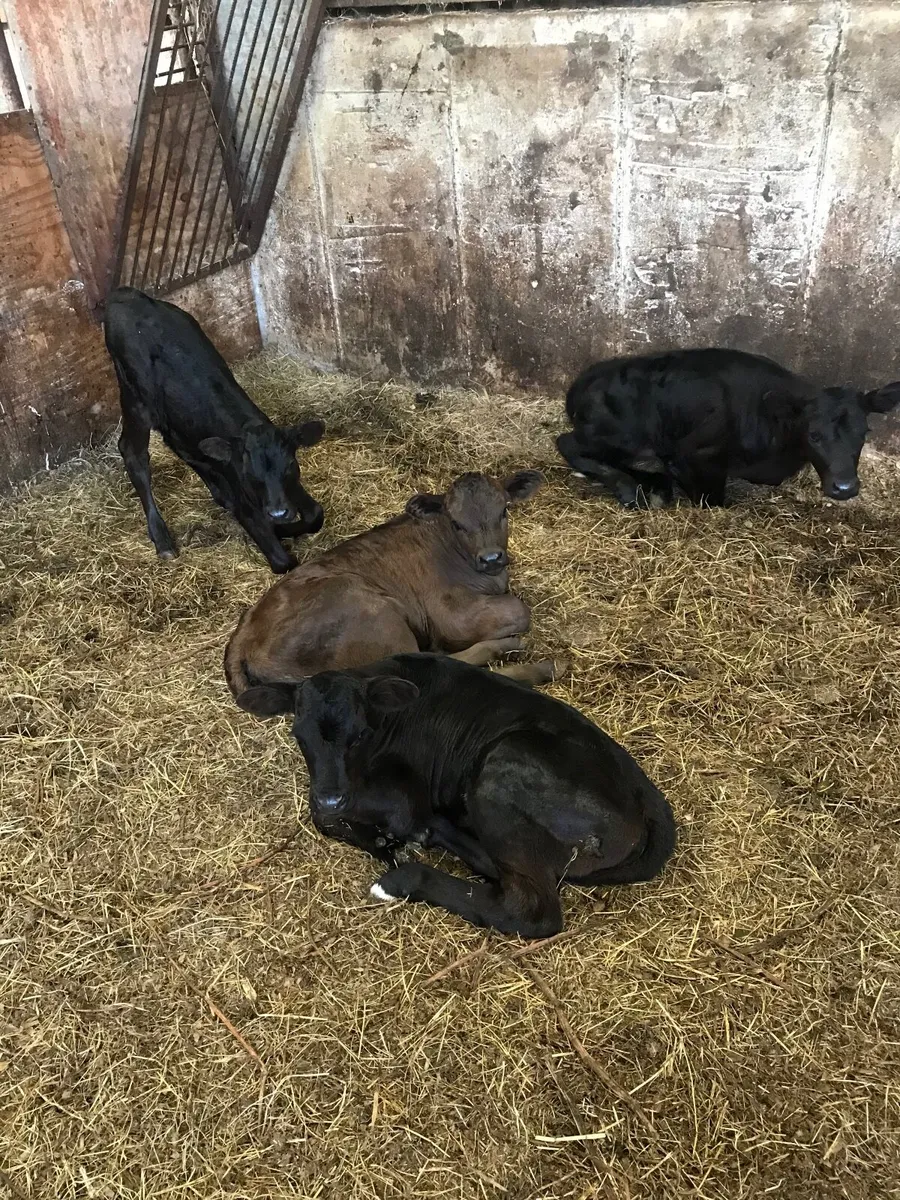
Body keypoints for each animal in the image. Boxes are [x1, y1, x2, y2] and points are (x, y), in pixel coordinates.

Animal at [104, 286, 325, 574]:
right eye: (248, 473)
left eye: (289, 464)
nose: (278, 513)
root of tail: (125, 294)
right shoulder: (246, 505)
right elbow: (283, 562)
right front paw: (276, 531)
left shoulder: (289, 486)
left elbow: (315, 514)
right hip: (135, 399)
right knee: (133, 452)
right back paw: (162, 538)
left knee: (179, 446)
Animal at [225, 470, 545, 700]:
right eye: (456, 522)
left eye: (504, 510)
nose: (491, 558)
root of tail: (244, 634)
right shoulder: (451, 618)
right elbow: (520, 611)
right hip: (376, 615)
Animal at [237, 654, 676, 937]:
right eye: (299, 735)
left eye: (360, 734)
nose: (331, 798)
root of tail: (647, 798)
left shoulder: (400, 791)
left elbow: (371, 814)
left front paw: (388, 835)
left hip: (503, 768)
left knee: (530, 909)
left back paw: (402, 876)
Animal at [557, 348, 900, 508]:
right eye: (813, 434)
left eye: (863, 434)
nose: (845, 487)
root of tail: (583, 380)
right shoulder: (690, 455)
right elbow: (711, 498)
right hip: (617, 436)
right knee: (567, 443)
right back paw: (630, 488)